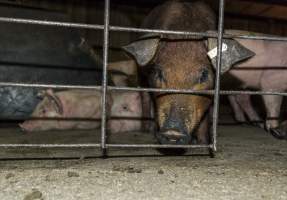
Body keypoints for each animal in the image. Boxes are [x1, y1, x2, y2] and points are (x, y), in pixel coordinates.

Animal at [122, 0, 215, 144]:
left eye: (204, 75)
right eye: (159, 73)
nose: (173, 132)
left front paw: (203, 142)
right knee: (145, 97)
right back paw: (145, 131)